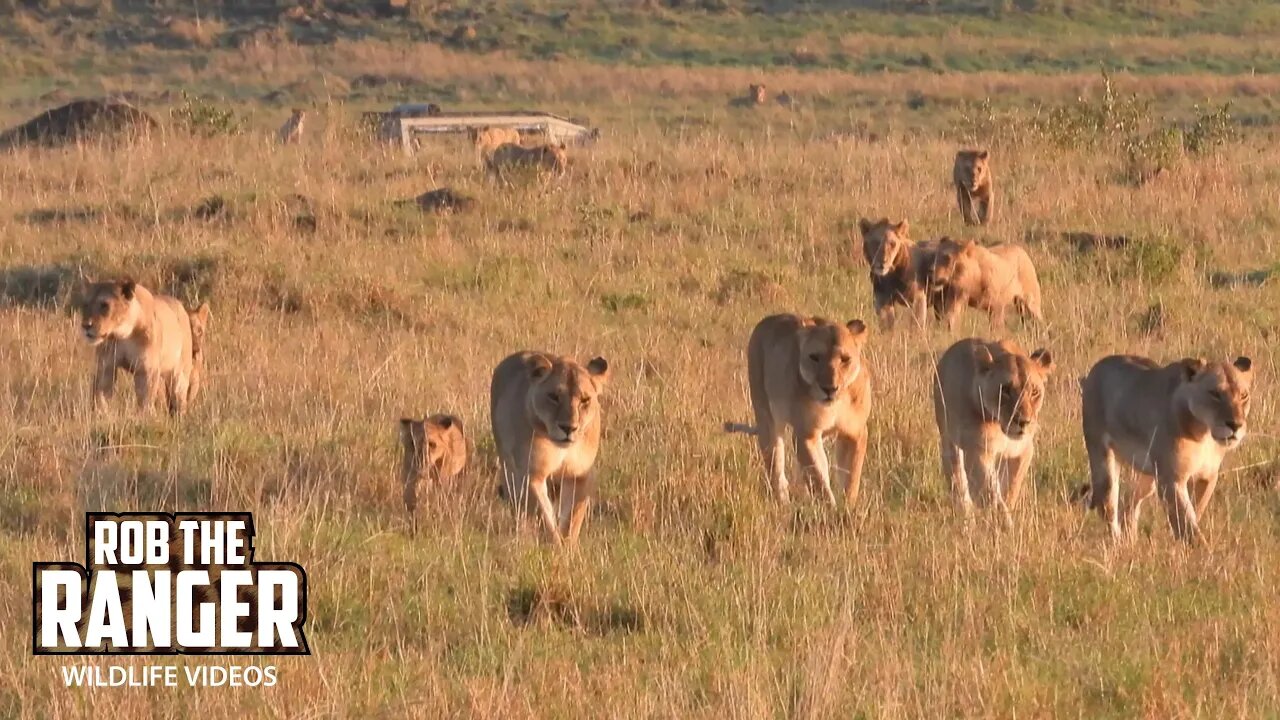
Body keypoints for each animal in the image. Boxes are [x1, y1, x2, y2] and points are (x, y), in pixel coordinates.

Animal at [488, 348, 609, 543]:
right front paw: (554, 545)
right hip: (508, 466)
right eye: (553, 397)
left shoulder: (581, 475)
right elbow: (545, 517)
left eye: (585, 400)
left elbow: (572, 519)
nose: (568, 428)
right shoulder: (532, 475)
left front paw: (568, 546)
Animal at [727, 312, 875, 504]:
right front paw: (831, 508)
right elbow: (818, 478)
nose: (829, 388)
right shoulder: (805, 434)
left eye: (845, 359)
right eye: (814, 357)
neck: (835, 404)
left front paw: (848, 506)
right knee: (777, 469)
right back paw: (783, 503)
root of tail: (768, 319)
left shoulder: (855, 433)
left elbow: (851, 478)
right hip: (766, 419)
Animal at [931, 338, 1049, 520]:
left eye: (1035, 392)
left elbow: (1011, 486)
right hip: (949, 442)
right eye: (1005, 390)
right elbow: (991, 494)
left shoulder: (1024, 450)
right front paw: (1003, 522)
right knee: (958, 482)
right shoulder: (978, 451)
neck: (1000, 426)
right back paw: (966, 517)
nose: (1023, 422)